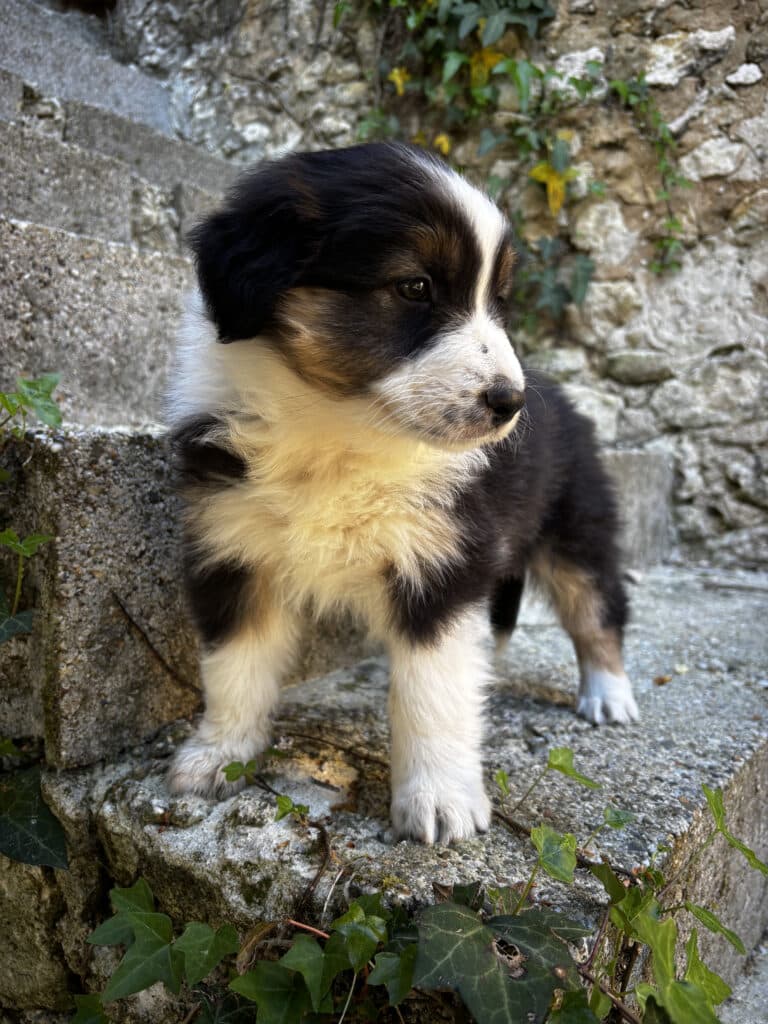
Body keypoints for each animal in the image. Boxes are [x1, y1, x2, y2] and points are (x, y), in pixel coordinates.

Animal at [166, 142, 639, 844]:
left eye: (498, 302)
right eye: (414, 287)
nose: (509, 403)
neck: (338, 431)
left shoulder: (441, 565)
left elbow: (430, 693)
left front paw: (439, 800)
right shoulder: (233, 547)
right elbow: (234, 666)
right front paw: (219, 755)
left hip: (575, 525)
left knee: (596, 606)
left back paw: (609, 693)